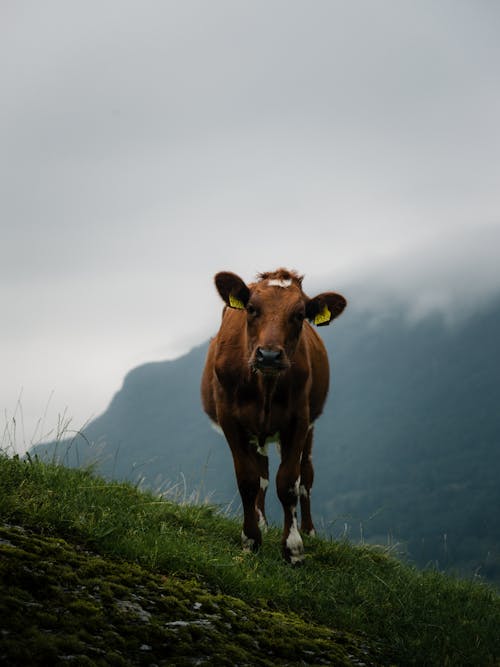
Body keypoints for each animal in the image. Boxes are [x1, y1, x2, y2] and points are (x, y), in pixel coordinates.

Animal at [201, 268, 346, 568]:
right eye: (252, 309)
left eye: (300, 314)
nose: (268, 355)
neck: (264, 386)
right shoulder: (230, 420)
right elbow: (248, 480)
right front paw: (251, 538)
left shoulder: (298, 420)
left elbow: (289, 482)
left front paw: (293, 547)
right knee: (263, 475)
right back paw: (262, 522)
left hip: (307, 427)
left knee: (306, 476)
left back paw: (309, 530)